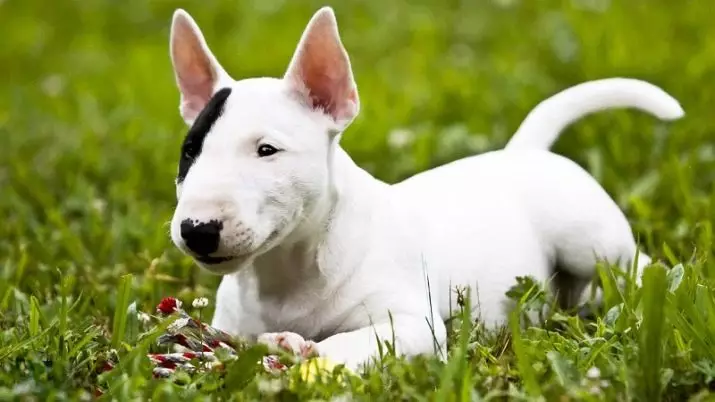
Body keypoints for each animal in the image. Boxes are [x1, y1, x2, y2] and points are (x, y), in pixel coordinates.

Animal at [166, 7, 684, 370]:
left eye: (267, 150)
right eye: (190, 152)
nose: (197, 230)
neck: (287, 269)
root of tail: (523, 150)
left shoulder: (412, 324)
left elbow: (356, 339)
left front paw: (307, 351)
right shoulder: (229, 327)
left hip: (589, 240)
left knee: (634, 265)